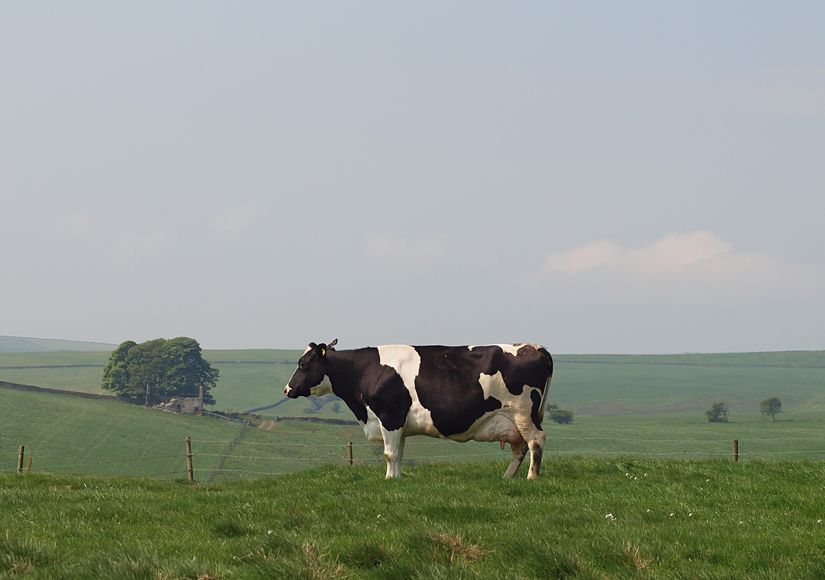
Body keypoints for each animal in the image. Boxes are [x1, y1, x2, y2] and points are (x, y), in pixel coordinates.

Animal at [284, 338, 552, 478]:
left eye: (303, 364)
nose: (287, 389)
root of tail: (534, 346)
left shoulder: (389, 417)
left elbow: (389, 454)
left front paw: (388, 479)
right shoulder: (398, 423)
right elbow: (398, 454)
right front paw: (397, 479)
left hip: (523, 413)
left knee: (535, 441)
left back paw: (531, 477)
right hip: (513, 419)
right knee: (520, 447)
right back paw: (507, 478)